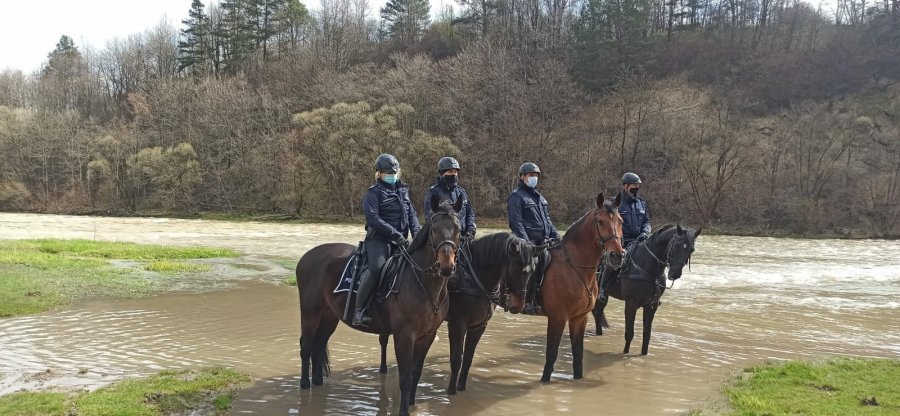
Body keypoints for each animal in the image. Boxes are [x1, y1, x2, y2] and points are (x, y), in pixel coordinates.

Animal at [372, 232, 536, 394]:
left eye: (533, 271)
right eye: (517, 268)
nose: (518, 306)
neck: (474, 279)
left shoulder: (479, 326)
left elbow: (468, 358)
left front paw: (461, 386)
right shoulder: (457, 324)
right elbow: (457, 359)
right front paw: (451, 390)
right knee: (383, 339)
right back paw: (383, 368)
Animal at [506, 193, 624, 382]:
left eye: (621, 221)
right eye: (600, 222)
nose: (617, 256)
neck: (574, 266)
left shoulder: (579, 318)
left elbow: (578, 355)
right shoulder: (558, 318)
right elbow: (551, 355)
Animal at [592, 223, 704, 356]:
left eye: (692, 249)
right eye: (677, 245)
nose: (675, 273)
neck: (647, 268)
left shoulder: (651, 306)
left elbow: (647, 335)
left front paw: (644, 354)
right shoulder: (631, 304)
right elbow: (629, 333)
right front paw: (625, 353)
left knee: (597, 313)